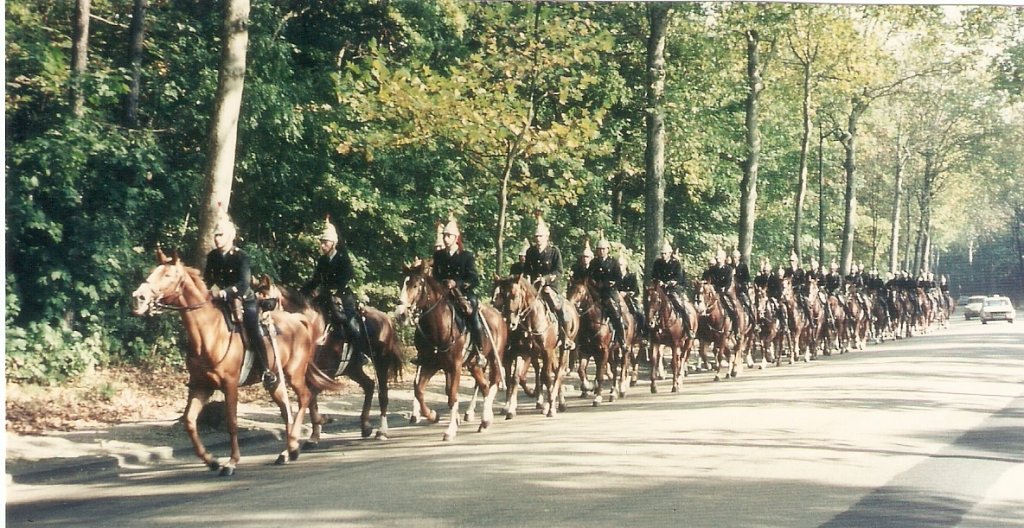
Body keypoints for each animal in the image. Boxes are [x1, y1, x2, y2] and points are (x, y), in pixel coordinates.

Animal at [129, 249, 339, 476]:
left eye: (168, 275)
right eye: (153, 271)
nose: (138, 298)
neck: (209, 332)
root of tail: (298, 319)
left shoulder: (229, 385)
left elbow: (232, 423)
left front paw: (231, 462)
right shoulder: (201, 386)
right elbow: (190, 422)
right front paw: (211, 460)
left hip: (294, 374)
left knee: (305, 398)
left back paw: (292, 446)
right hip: (275, 380)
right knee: (286, 409)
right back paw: (286, 452)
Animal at [249, 276, 401, 446]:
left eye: (267, 302)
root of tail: (386, 318)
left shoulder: (327, 373)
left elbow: (310, 399)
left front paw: (321, 422)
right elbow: (311, 402)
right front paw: (315, 434)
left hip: (381, 362)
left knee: (383, 394)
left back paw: (382, 431)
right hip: (352, 368)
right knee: (369, 385)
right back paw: (366, 426)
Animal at [393, 260, 505, 442]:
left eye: (415, 285)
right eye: (403, 283)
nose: (400, 314)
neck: (440, 326)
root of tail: (499, 315)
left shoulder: (455, 366)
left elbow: (452, 395)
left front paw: (450, 430)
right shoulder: (430, 365)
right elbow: (419, 391)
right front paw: (432, 415)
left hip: (494, 358)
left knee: (493, 382)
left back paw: (486, 418)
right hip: (473, 365)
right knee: (485, 386)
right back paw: (484, 421)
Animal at [489, 274, 577, 419]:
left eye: (515, 295)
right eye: (502, 295)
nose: (510, 323)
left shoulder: (546, 351)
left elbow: (546, 377)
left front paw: (550, 407)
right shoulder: (521, 353)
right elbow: (515, 377)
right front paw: (510, 409)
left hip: (563, 349)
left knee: (558, 372)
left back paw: (554, 402)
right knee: (551, 370)